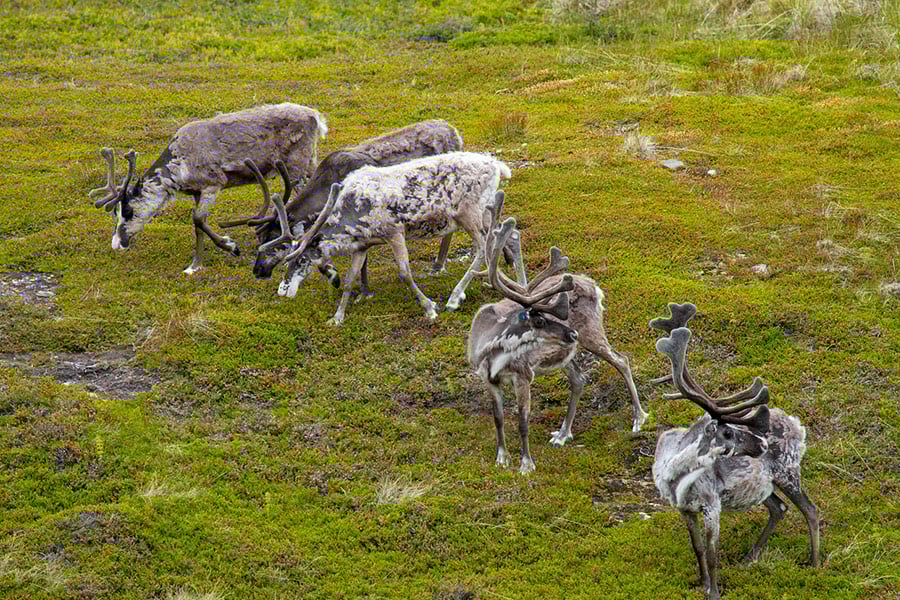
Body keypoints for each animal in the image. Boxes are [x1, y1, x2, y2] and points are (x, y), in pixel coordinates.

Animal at [88, 103, 327, 274]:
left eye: (128, 211)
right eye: (115, 212)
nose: (117, 244)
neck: (178, 166)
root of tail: (316, 117)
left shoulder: (214, 183)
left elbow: (199, 219)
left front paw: (230, 246)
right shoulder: (197, 191)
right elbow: (198, 226)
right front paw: (195, 265)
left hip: (297, 167)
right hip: (308, 164)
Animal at [466, 208, 648, 474]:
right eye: (540, 321)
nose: (572, 333)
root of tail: (595, 286)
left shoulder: (523, 375)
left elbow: (522, 421)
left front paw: (526, 464)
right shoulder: (487, 378)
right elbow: (498, 418)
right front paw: (501, 458)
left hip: (593, 333)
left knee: (621, 360)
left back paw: (638, 417)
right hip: (567, 352)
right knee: (579, 379)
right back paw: (562, 434)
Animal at [650, 306, 820, 600]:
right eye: (727, 433)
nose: (761, 444)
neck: (675, 475)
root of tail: (797, 425)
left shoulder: (712, 504)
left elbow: (712, 554)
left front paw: (714, 591)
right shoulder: (684, 509)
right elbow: (698, 549)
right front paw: (702, 583)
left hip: (788, 472)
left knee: (810, 510)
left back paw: (816, 563)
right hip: (764, 485)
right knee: (779, 508)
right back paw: (749, 557)